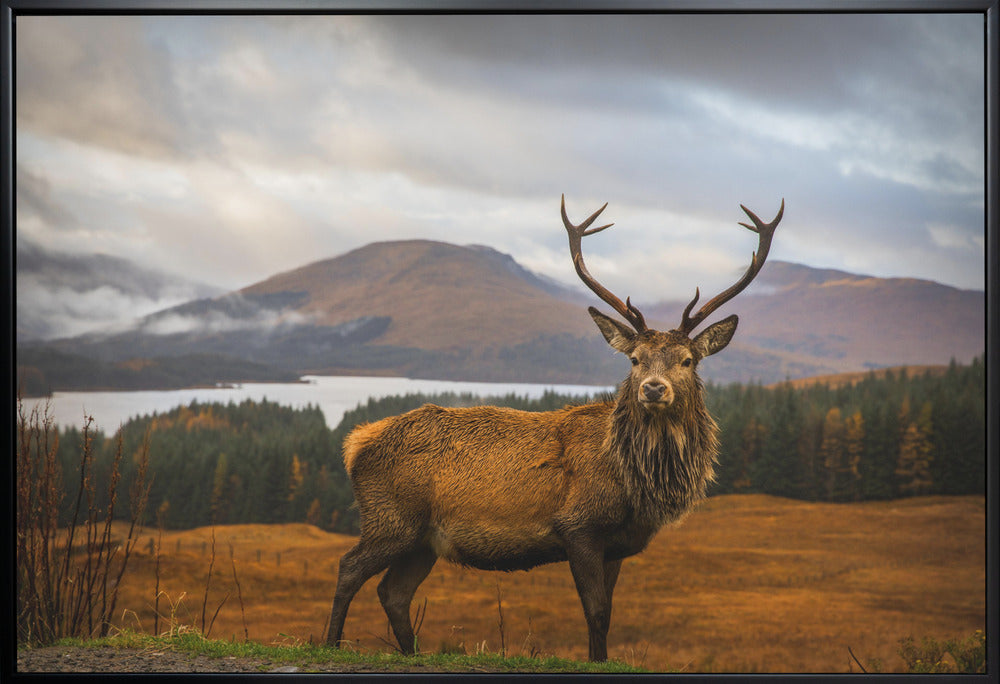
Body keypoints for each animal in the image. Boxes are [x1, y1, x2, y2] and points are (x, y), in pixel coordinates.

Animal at [324, 195, 784, 662]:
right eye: (635, 359)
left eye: (688, 360)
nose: (654, 388)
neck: (635, 485)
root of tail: (356, 442)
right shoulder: (577, 526)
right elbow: (595, 611)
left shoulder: (617, 545)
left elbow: (608, 613)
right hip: (391, 518)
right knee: (348, 568)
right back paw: (330, 643)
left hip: (422, 540)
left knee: (393, 592)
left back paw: (411, 652)